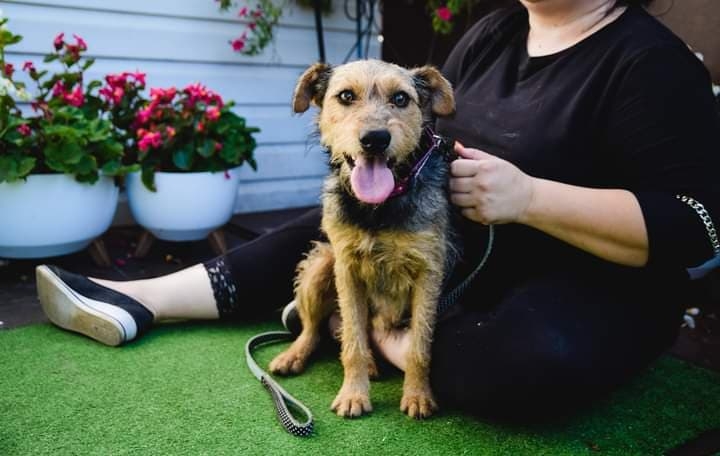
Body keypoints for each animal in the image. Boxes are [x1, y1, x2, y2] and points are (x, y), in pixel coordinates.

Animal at [269, 59, 456, 419]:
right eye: (345, 96)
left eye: (401, 98)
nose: (375, 139)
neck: (378, 209)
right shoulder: (347, 268)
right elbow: (353, 340)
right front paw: (354, 394)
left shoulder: (429, 272)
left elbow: (420, 345)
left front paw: (418, 395)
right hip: (321, 265)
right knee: (314, 328)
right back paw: (294, 355)